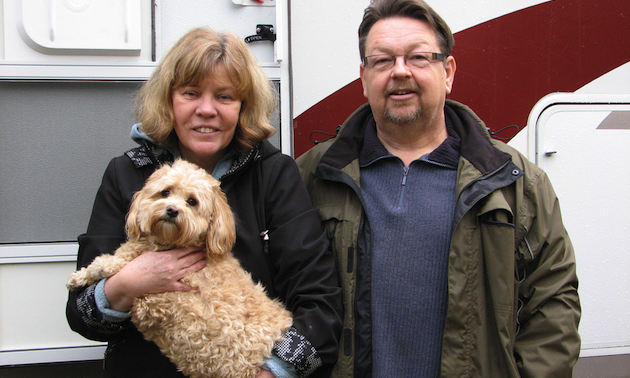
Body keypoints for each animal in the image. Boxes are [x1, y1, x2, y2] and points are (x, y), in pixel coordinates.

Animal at [68, 159, 296, 378]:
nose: (172, 210)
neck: (170, 242)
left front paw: (78, 277)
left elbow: (103, 263)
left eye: (192, 201)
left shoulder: (146, 287)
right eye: (165, 192)